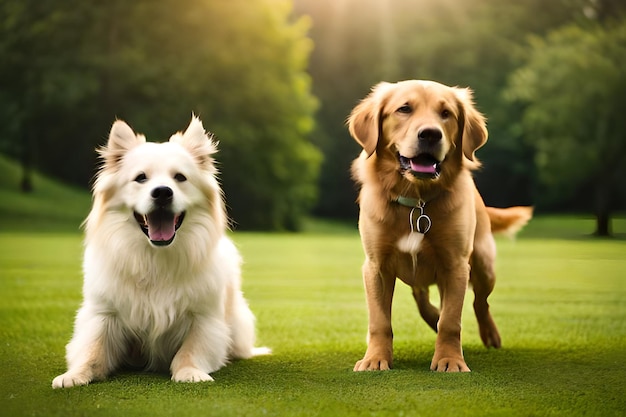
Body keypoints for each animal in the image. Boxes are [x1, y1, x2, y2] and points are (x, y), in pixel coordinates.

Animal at [52, 116, 266, 386]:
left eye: (180, 178)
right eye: (141, 178)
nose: (163, 192)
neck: (155, 257)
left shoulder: (204, 319)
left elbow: (190, 350)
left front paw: (190, 372)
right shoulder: (103, 315)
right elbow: (92, 351)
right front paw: (74, 375)